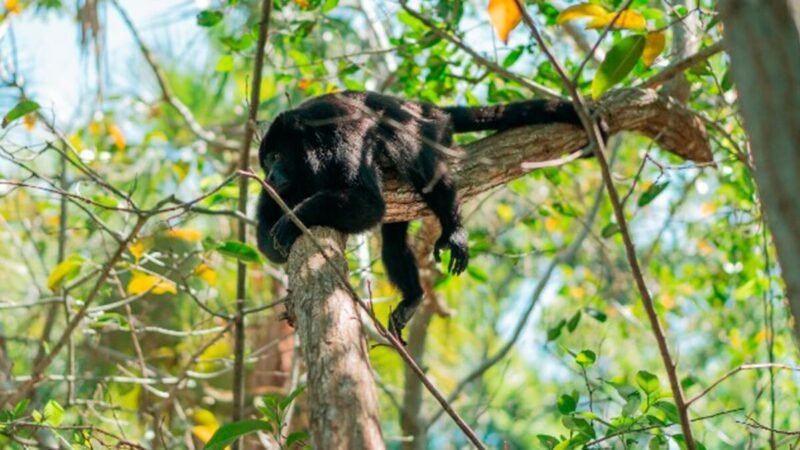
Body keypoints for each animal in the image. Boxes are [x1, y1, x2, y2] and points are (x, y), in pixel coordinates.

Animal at [255, 90, 593, 343]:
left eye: (276, 156)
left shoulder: (343, 139)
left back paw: (454, 229)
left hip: (432, 130)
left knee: (423, 166)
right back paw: (414, 296)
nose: (269, 175)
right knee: (393, 242)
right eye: (266, 162)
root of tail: (425, 108)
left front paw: (293, 220)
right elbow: (263, 234)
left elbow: (370, 203)